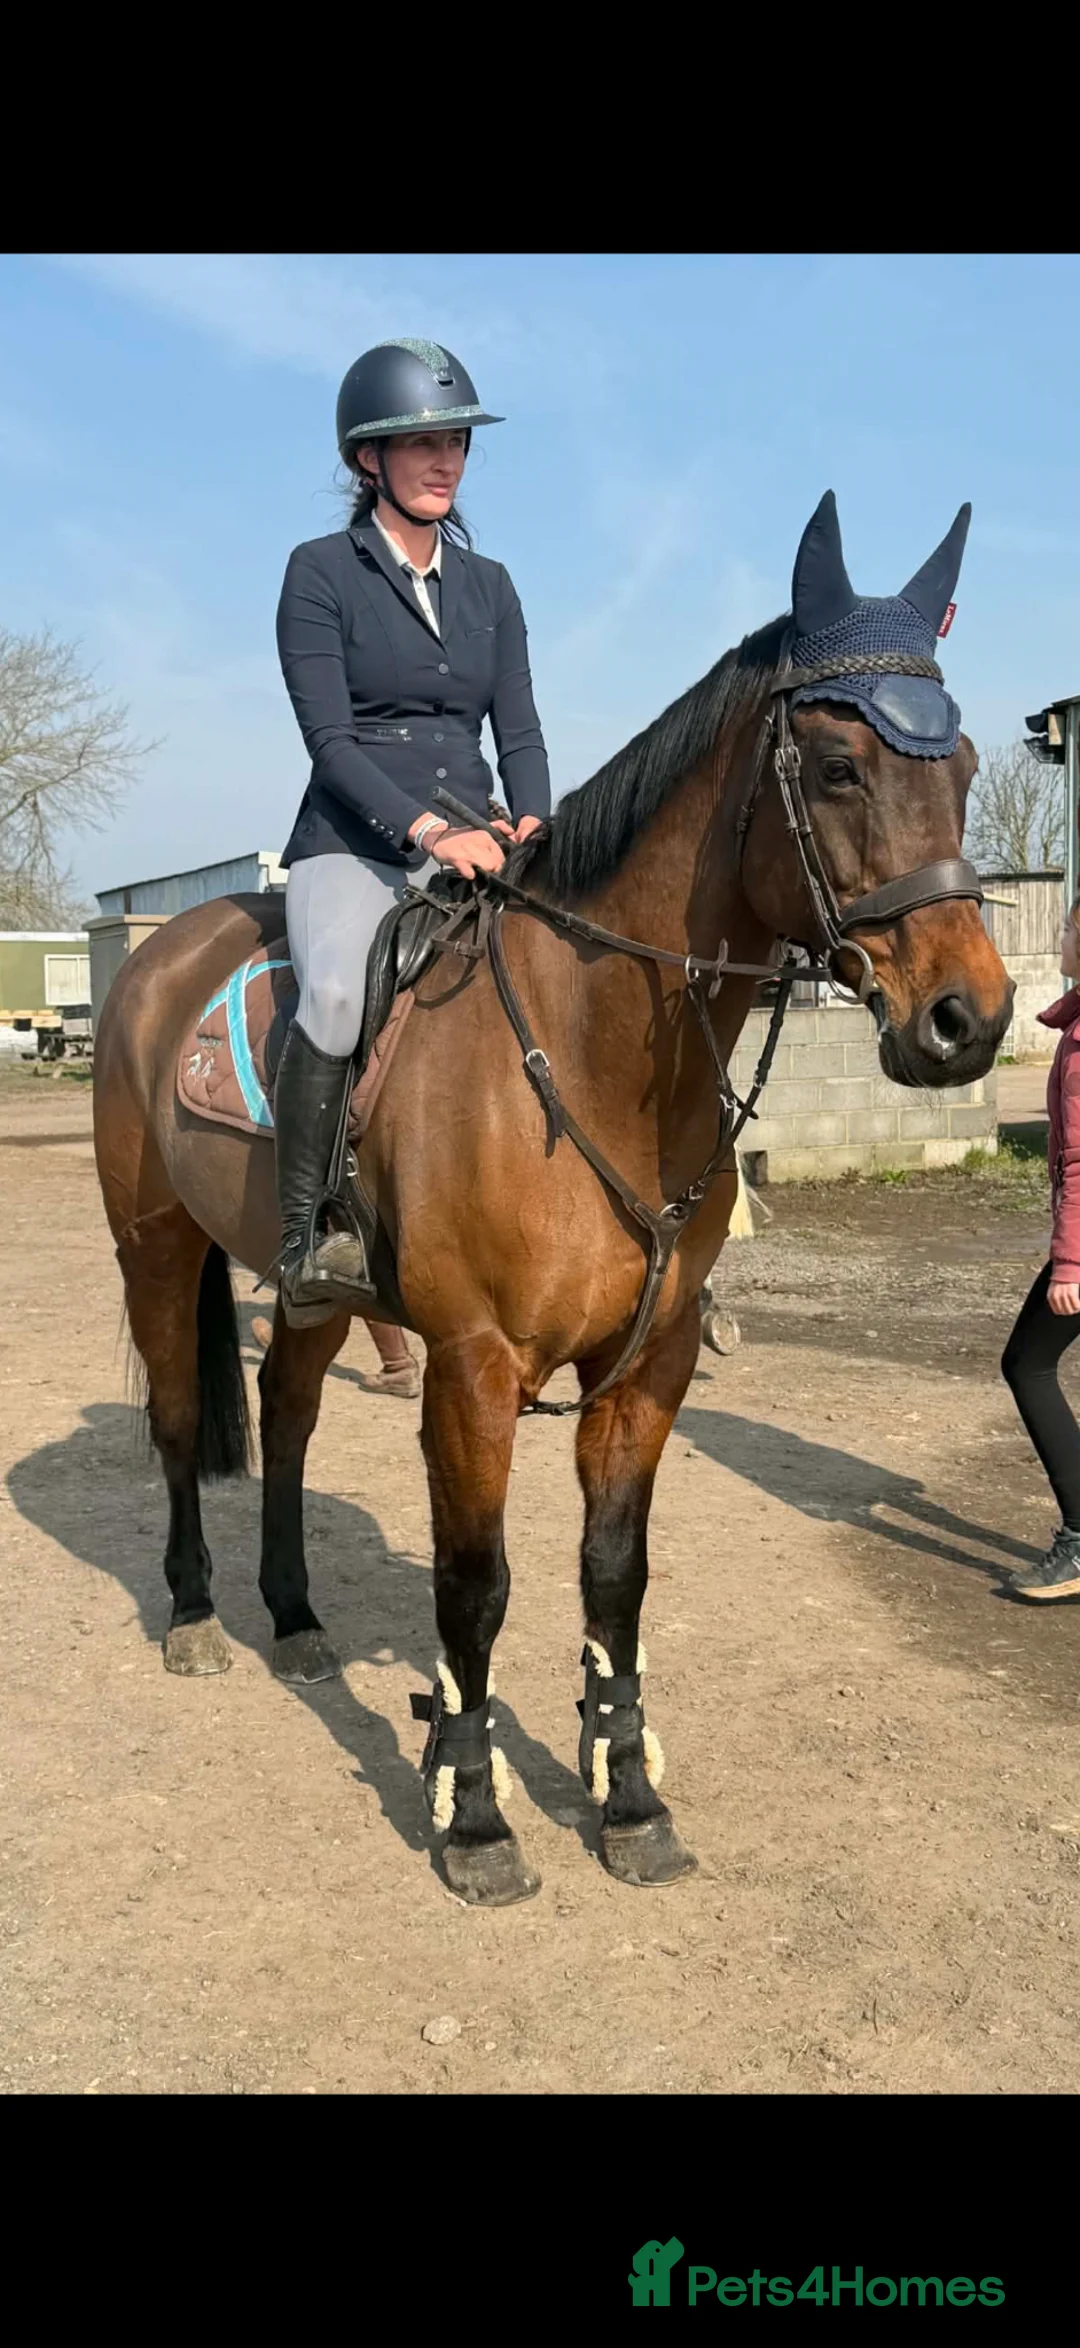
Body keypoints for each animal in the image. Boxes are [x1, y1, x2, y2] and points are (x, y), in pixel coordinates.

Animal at [91, 498, 1013, 1907]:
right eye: (840, 766)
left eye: (959, 762)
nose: (971, 1022)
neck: (590, 1052)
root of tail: (158, 955)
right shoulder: (472, 1367)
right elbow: (477, 1587)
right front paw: (474, 1815)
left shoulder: (647, 1363)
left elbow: (613, 1579)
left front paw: (628, 1796)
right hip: (153, 1244)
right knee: (184, 1418)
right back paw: (196, 1614)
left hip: (309, 1291)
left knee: (288, 1420)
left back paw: (293, 1617)